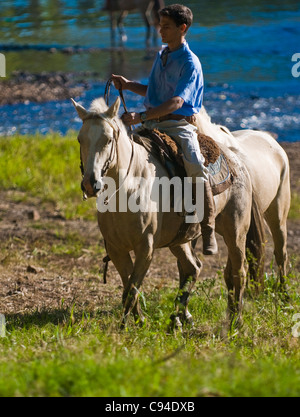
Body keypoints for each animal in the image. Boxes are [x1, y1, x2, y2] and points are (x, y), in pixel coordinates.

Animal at [71, 96, 266, 328]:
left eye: (109, 140)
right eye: (80, 139)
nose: (90, 184)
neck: (129, 186)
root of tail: (236, 159)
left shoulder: (146, 247)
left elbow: (131, 289)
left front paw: (125, 326)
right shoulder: (116, 249)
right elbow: (129, 287)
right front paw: (138, 322)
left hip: (236, 232)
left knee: (238, 272)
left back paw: (235, 321)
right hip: (180, 240)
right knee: (193, 268)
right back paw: (179, 320)